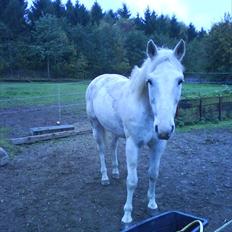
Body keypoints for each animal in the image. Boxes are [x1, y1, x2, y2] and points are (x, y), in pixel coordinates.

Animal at [86, 39, 186, 224]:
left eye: (180, 81)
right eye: (150, 81)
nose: (164, 129)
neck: (148, 113)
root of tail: (98, 79)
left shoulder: (158, 145)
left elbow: (153, 174)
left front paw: (152, 205)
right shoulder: (133, 145)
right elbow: (132, 181)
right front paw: (127, 215)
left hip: (114, 129)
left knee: (113, 147)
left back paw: (115, 172)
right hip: (96, 126)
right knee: (101, 150)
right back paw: (105, 178)